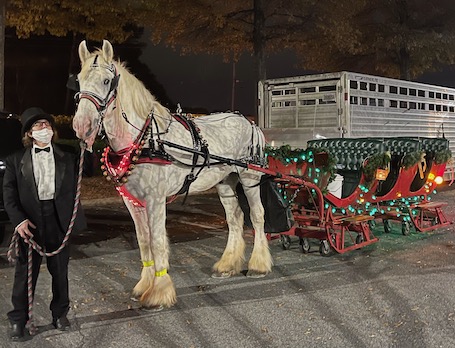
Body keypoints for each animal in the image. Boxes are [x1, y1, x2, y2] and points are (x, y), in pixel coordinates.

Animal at [71, 40, 270, 310]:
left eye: (105, 81)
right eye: (79, 80)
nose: (82, 125)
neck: (145, 139)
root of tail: (249, 123)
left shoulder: (155, 200)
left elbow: (156, 242)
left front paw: (160, 292)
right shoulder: (133, 202)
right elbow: (144, 241)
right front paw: (145, 285)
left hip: (250, 179)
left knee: (257, 216)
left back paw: (259, 264)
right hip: (225, 181)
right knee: (235, 217)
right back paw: (227, 264)